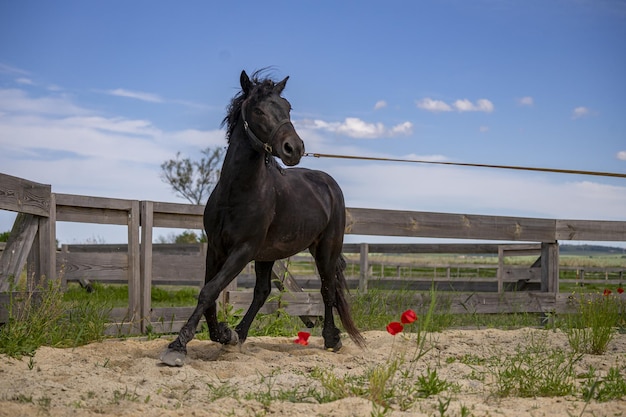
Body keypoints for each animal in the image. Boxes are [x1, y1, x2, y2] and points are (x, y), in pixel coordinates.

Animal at [160, 69, 366, 364]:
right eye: (257, 110)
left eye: (288, 107)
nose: (294, 148)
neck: (236, 192)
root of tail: (329, 184)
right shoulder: (216, 249)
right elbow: (210, 293)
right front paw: (223, 335)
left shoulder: (244, 249)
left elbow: (210, 291)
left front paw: (178, 346)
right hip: (269, 254)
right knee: (262, 292)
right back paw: (239, 334)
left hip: (325, 249)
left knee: (328, 290)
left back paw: (331, 339)